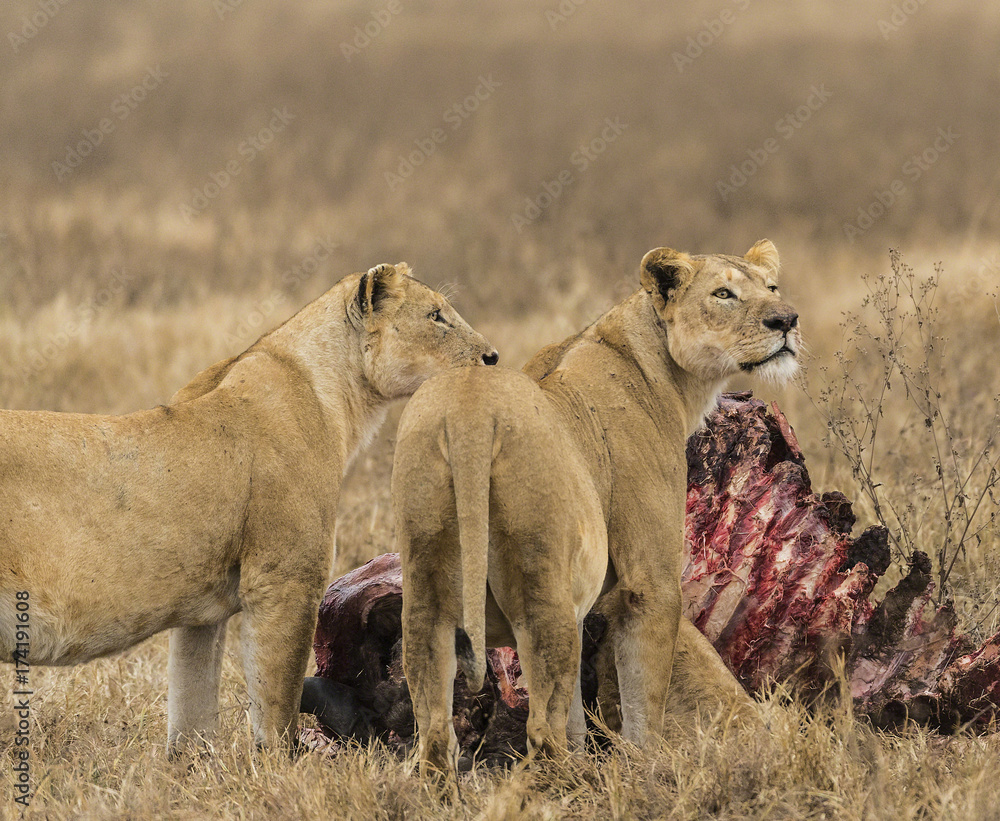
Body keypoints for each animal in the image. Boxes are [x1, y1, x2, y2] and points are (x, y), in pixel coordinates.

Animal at [0, 262, 498, 753]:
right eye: (436, 315)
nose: (493, 358)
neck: (334, 392)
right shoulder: (285, 580)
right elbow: (278, 699)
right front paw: (281, 766)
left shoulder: (201, 614)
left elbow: (193, 703)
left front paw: (190, 767)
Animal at [394, 241, 799, 783]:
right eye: (723, 294)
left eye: (772, 287)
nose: (787, 319)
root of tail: (470, 414)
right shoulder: (647, 582)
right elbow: (644, 698)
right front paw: (647, 772)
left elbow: (575, 714)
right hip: (542, 592)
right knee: (541, 733)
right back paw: (576, 785)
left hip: (426, 597)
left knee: (437, 732)